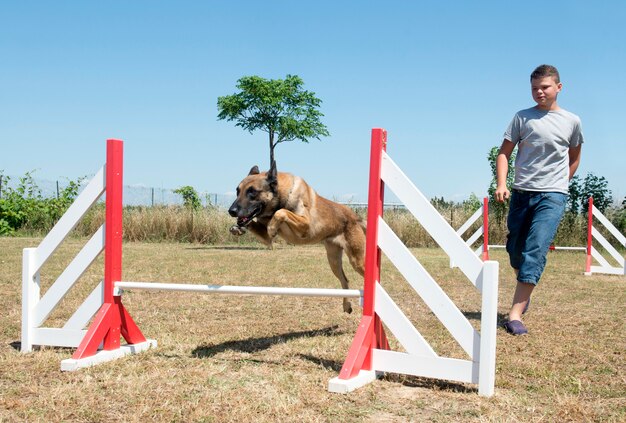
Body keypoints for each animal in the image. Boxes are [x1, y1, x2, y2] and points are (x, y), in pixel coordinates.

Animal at [228, 163, 366, 314]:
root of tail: (355, 217)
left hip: (357, 261)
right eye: (237, 191)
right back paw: (346, 305)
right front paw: (238, 228)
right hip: (334, 261)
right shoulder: (266, 238)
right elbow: (261, 224)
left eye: (252, 192)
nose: (231, 211)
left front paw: (272, 226)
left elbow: (281, 212)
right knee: (345, 280)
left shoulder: (306, 225)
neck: (280, 198)